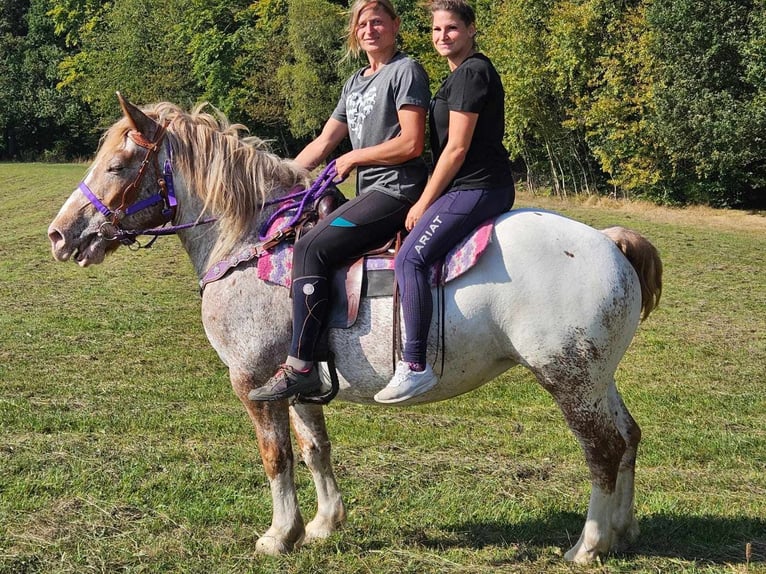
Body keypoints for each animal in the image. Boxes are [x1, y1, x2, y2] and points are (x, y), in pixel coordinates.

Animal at [48, 94, 664, 568]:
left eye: (119, 165)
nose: (60, 235)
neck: (250, 244)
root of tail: (608, 242)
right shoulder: (293, 381)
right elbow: (314, 448)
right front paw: (322, 524)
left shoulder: (251, 382)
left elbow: (277, 457)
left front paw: (278, 535)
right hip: (596, 378)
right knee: (629, 436)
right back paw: (623, 533)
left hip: (568, 380)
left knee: (602, 450)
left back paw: (588, 546)